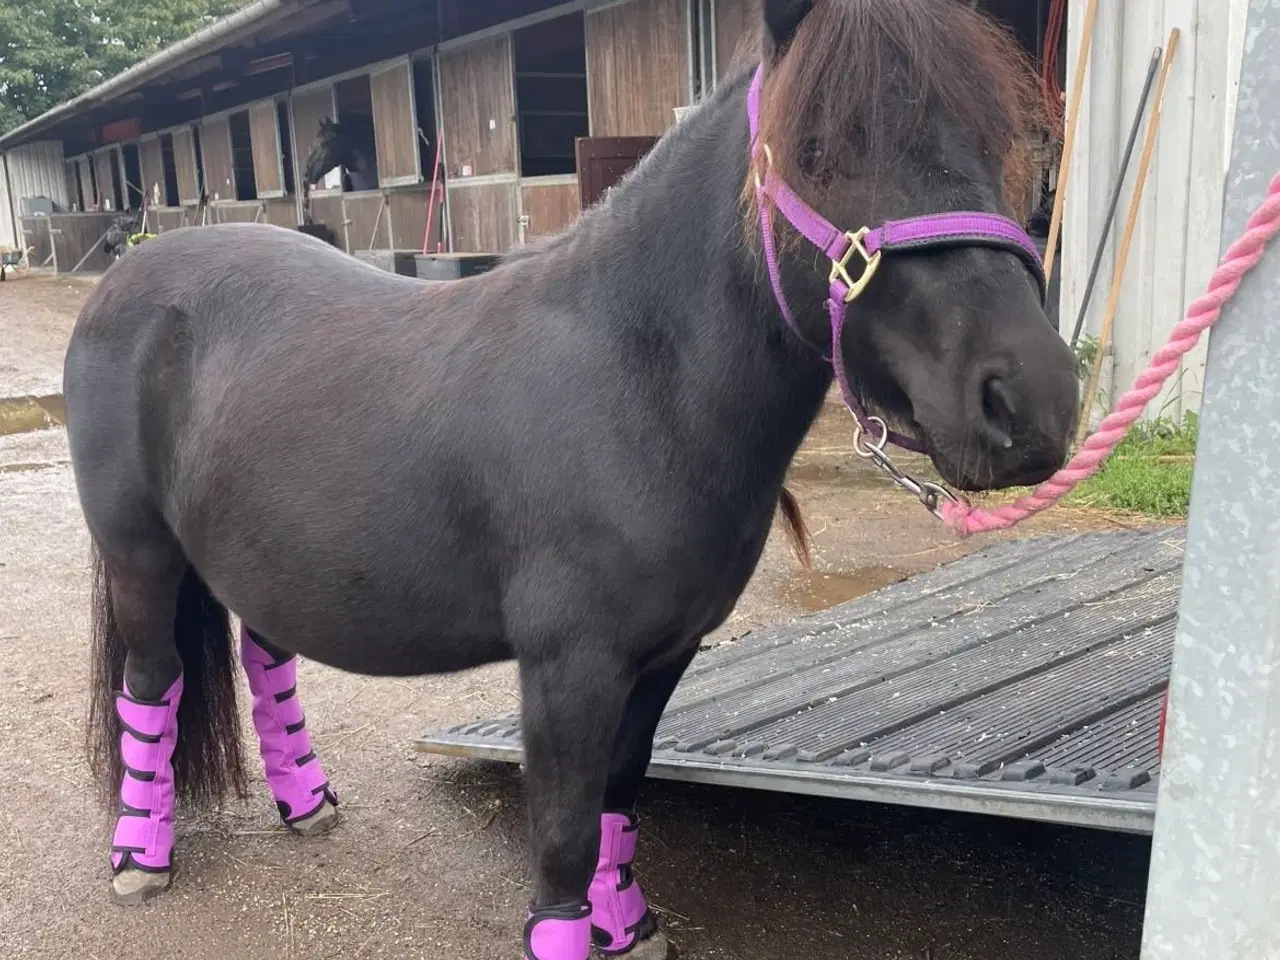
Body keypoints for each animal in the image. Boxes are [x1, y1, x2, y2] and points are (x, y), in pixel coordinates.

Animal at [64, 2, 1080, 957]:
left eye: (999, 138)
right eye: (819, 148)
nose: (1029, 403)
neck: (636, 381)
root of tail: (128, 279)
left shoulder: (663, 657)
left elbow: (617, 801)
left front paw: (628, 927)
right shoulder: (568, 666)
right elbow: (561, 839)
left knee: (264, 656)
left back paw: (305, 804)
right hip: (141, 556)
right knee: (152, 685)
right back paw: (139, 858)